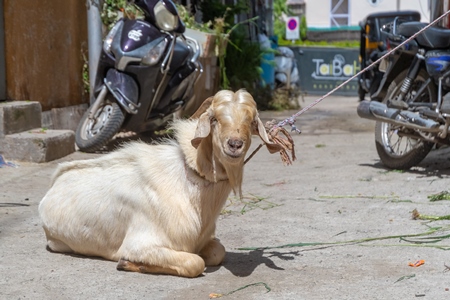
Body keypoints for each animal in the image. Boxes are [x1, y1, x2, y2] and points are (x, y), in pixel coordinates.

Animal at [38, 88, 282, 276]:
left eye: (251, 120)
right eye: (214, 119)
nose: (235, 144)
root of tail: (56, 181)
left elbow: (217, 252)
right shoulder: (141, 244)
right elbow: (195, 262)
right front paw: (128, 263)